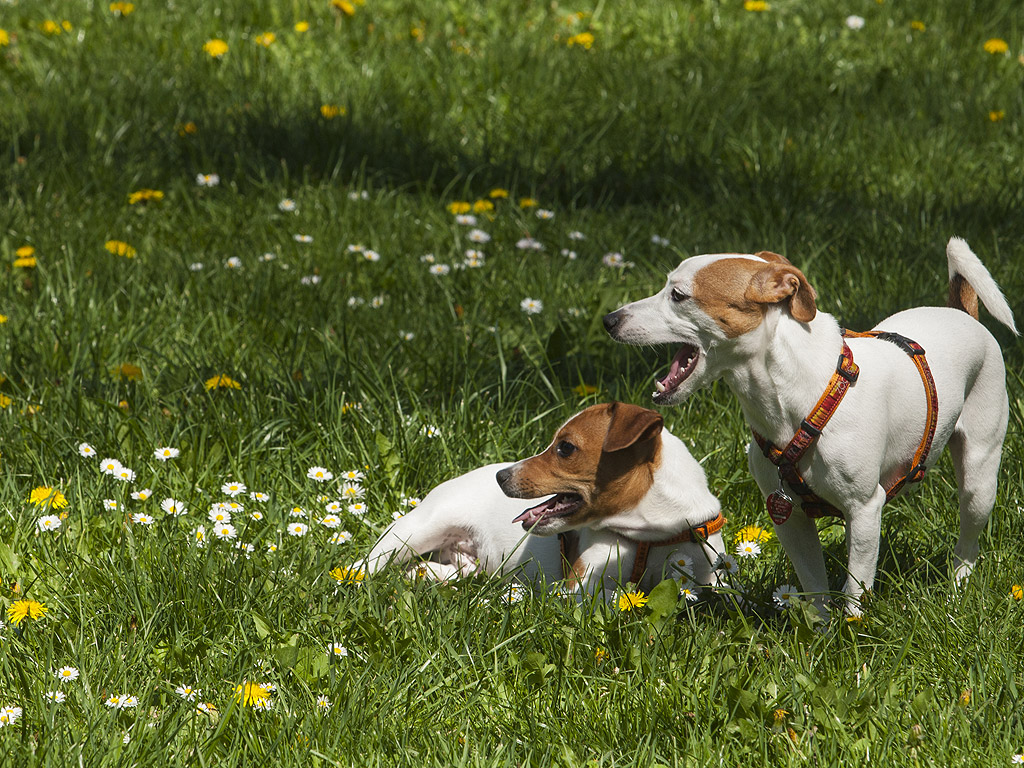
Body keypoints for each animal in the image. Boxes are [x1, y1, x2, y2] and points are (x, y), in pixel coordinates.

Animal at [364, 405, 724, 598]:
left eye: (564, 447)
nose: (501, 476)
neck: (651, 537)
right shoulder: (577, 584)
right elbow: (607, 594)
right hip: (417, 529)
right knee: (366, 565)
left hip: (467, 566)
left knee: (449, 570)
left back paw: (422, 574)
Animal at [602, 239, 1019, 614]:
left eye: (678, 295)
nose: (609, 320)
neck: (798, 404)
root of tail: (963, 313)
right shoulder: (791, 520)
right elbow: (815, 589)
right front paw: (819, 635)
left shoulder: (865, 509)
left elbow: (854, 594)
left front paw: (852, 641)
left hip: (979, 480)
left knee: (968, 544)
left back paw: (955, 593)